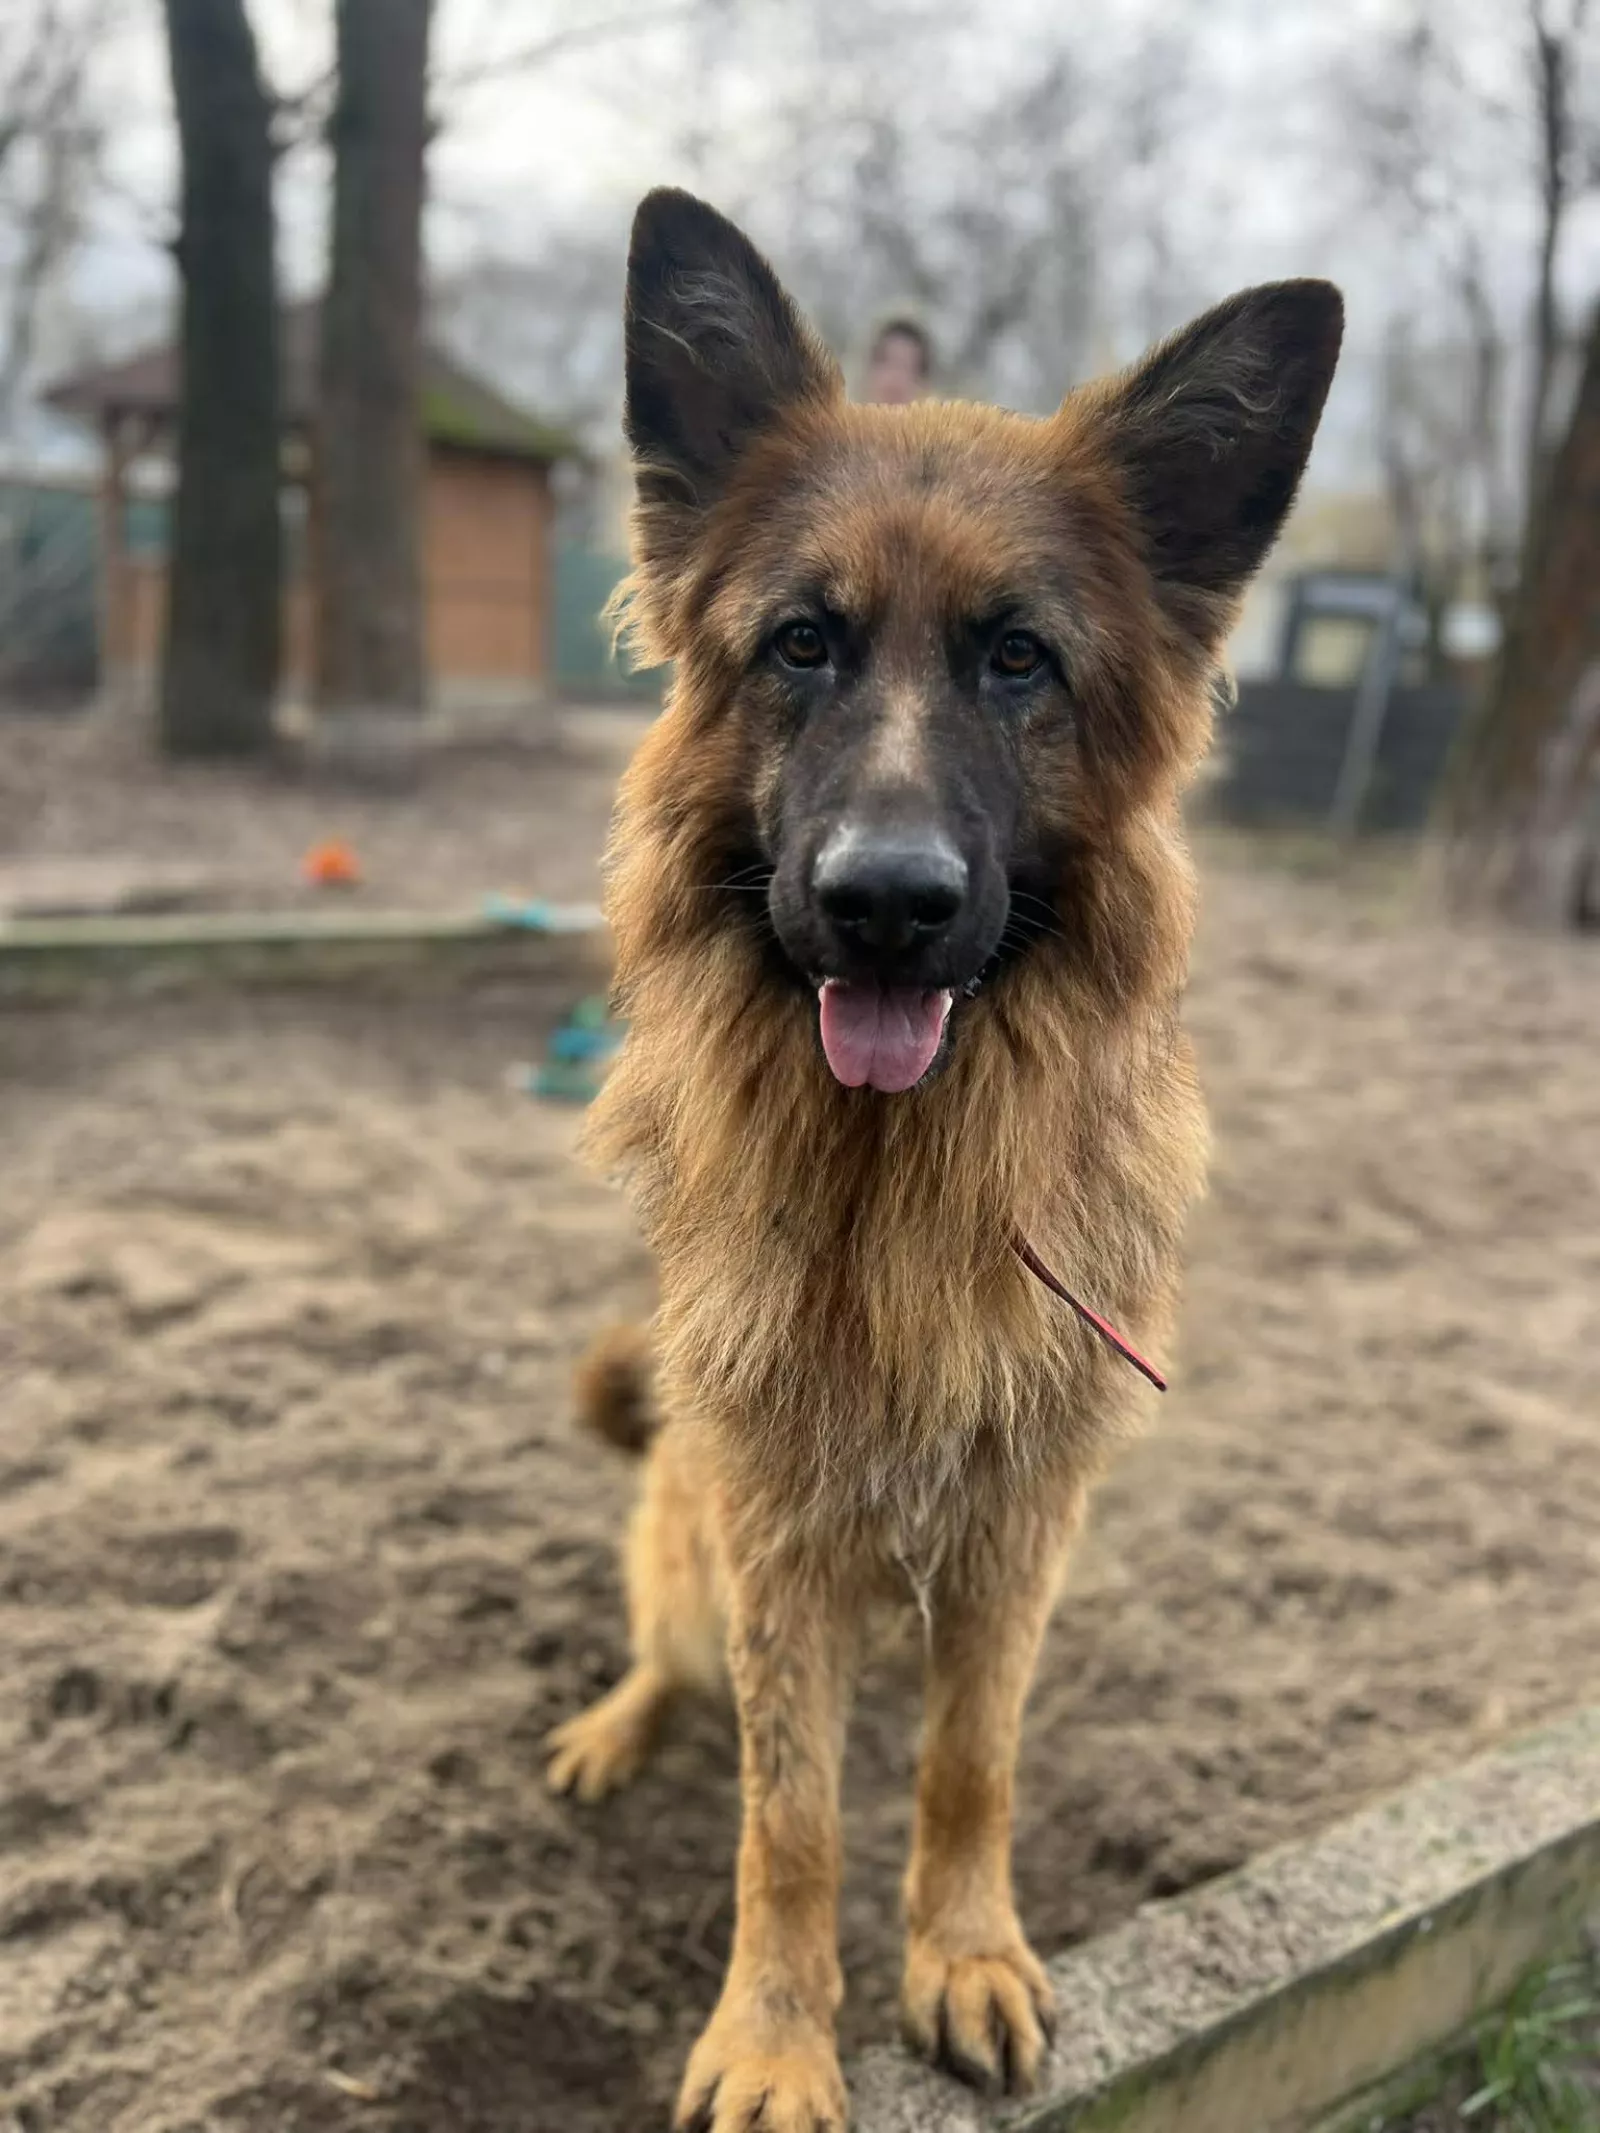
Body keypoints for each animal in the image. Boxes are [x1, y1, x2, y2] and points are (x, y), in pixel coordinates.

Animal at [547, 188, 1341, 2132]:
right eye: (801, 644)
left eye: (1018, 658)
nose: (888, 907)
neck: (896, 1175)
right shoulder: (773, 1534)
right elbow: (790, 1813)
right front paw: (776, 2032)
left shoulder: (1015, 1531)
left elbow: (967, 1766)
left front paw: (963, 1954)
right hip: (690, 1545)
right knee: (671, 1654)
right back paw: (620, 1723)